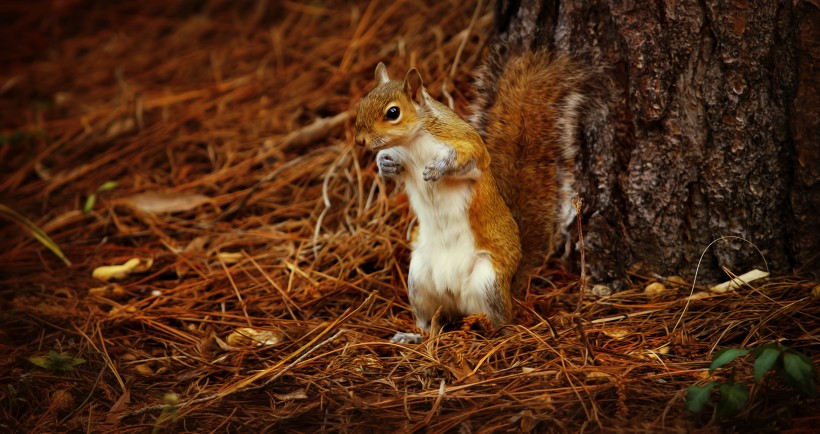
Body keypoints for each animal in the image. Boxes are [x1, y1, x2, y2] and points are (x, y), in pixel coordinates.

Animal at [356, 51, 600, 342]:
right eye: (363, 101)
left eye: (393, 112)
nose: (359, 140)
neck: (412, 144)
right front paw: (385, 164)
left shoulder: (466, 144)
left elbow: (471, 160)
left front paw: (438, 168)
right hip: (419, 281)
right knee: (431, 322)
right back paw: (416, 336)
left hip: (488, 282)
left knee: (501, 320)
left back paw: (495, 332)